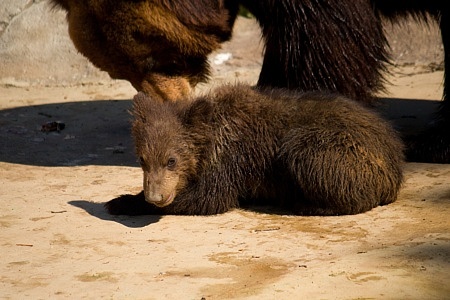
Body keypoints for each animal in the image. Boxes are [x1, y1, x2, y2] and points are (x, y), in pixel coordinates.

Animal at [105, 84, 404, 216]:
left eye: (171, 160)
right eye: (142, 159)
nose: (155, 196)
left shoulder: (231, 158)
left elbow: (208, 198)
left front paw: (122, 201)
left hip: (338, 148)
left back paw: (307, 204)